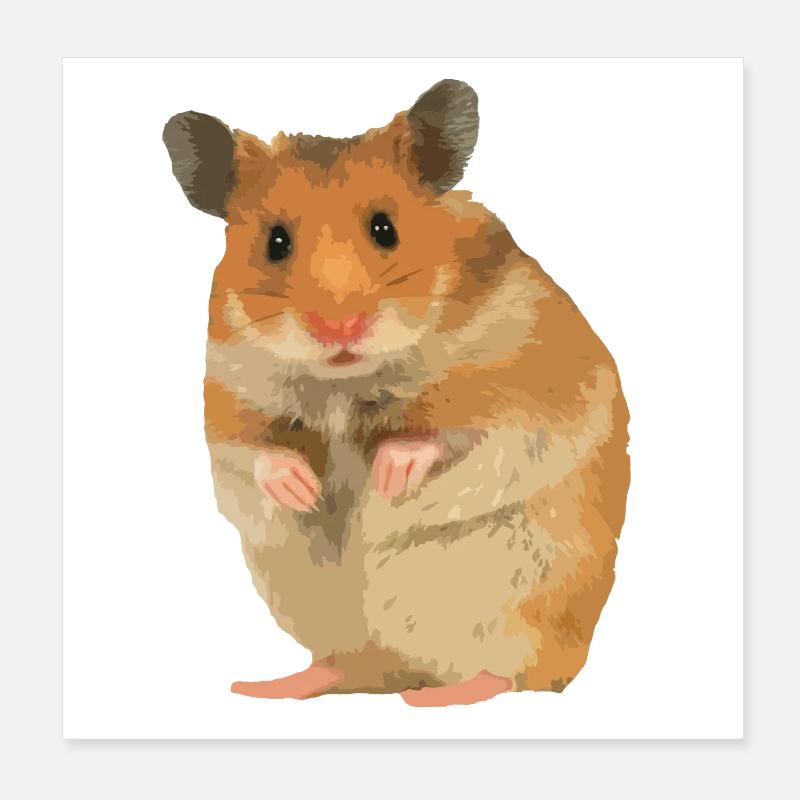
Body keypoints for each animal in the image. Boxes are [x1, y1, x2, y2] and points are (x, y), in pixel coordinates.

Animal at [163, 79, 630, 706]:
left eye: (386, 229)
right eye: (275, 242)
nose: (338, 328)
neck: (346, 380)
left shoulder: (525, 391)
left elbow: (455, 436)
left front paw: (387, 477)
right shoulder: (226, 397)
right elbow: (254, 453)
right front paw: (303, 491)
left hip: (518, 604)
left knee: (514, 675)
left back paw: (435, 697)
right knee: (350, 668)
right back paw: (264, 686)